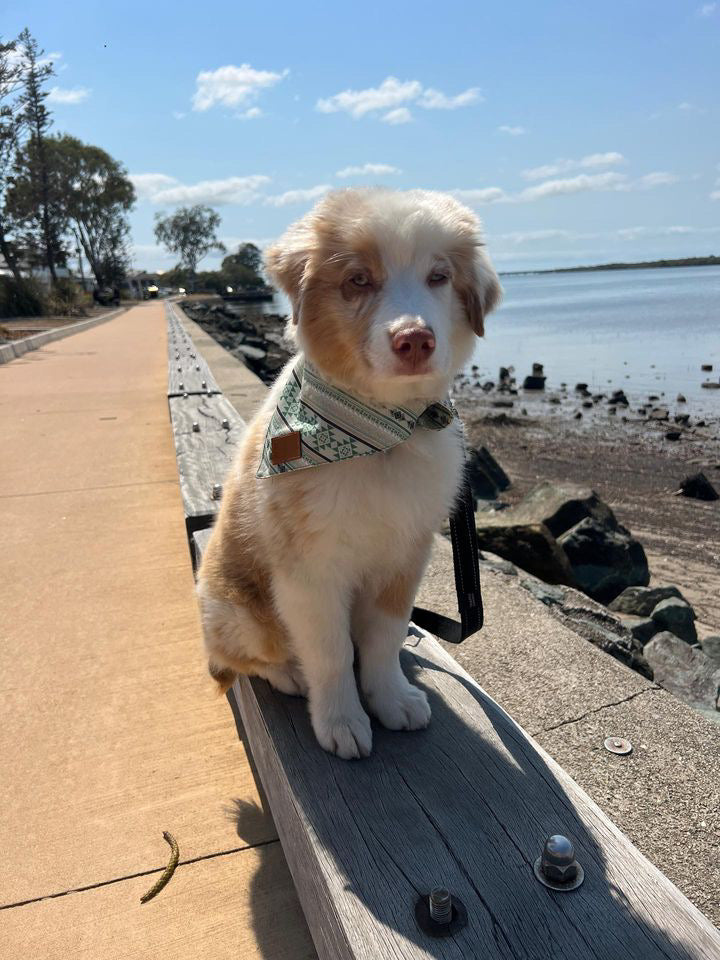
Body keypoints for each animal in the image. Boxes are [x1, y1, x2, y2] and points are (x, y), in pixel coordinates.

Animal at [197, 188, 500, 756]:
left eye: (439, 276)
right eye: (358, 280)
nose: (414, 340)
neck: (380, 434)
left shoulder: (405, 554)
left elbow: (382, 638)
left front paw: (391, 699)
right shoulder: (308, 572)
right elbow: (331, 651)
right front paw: (341, 721)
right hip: (236, 612)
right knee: (252, 659)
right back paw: (290, 674)